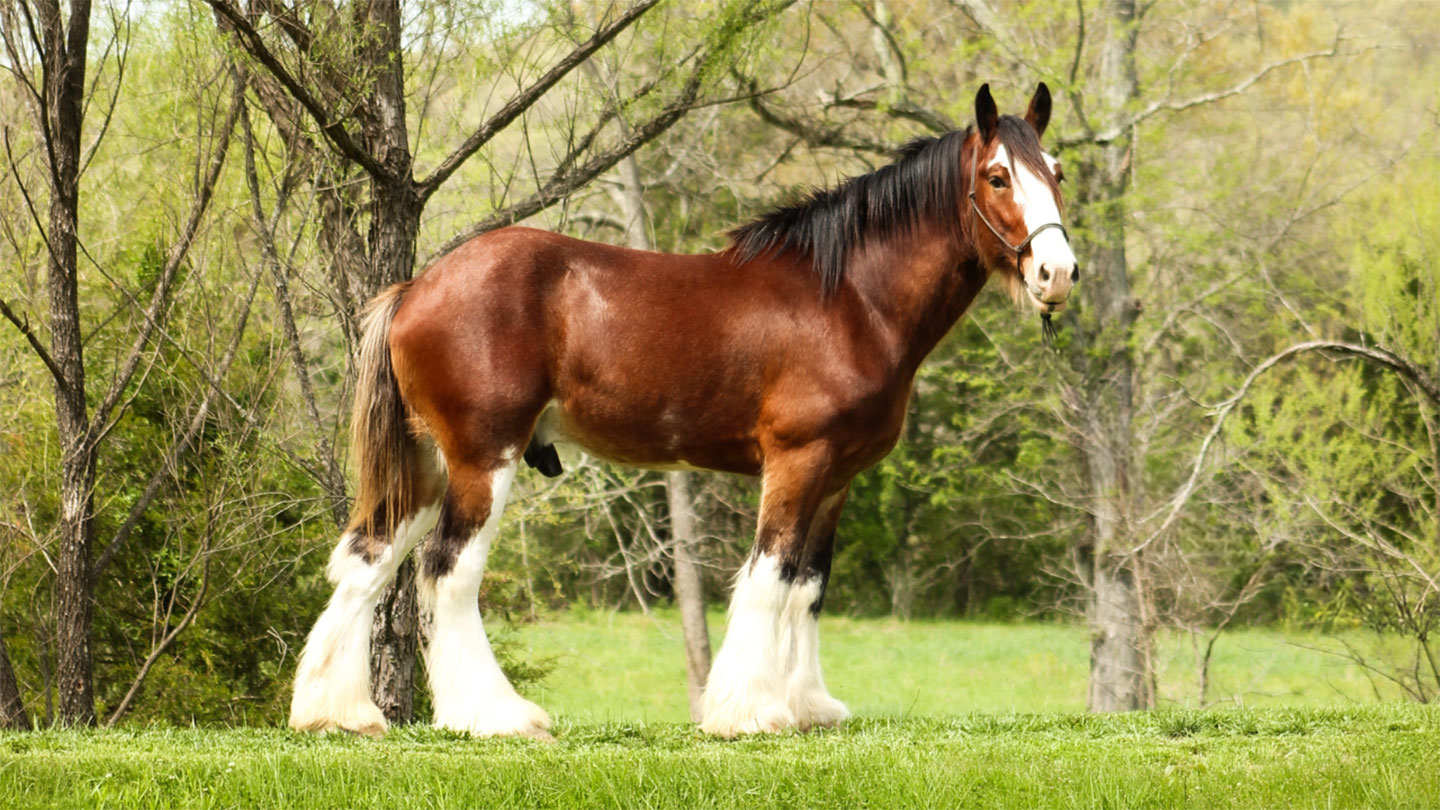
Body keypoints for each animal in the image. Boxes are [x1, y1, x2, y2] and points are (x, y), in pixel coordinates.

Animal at [288, 82, 1077, 739]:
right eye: (998, 175)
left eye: (1058, 172)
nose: (1058, 273)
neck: (850, 299)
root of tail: (413, 289)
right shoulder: (798, 460)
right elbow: (770, 574)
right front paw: (749, 713)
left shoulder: (838, 476)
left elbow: (808, 586)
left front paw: (809, 707)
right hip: (484, 459)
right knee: (448, 571)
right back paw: (494, 716)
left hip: (426, 464)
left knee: (367, 560)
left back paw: (339, 713)